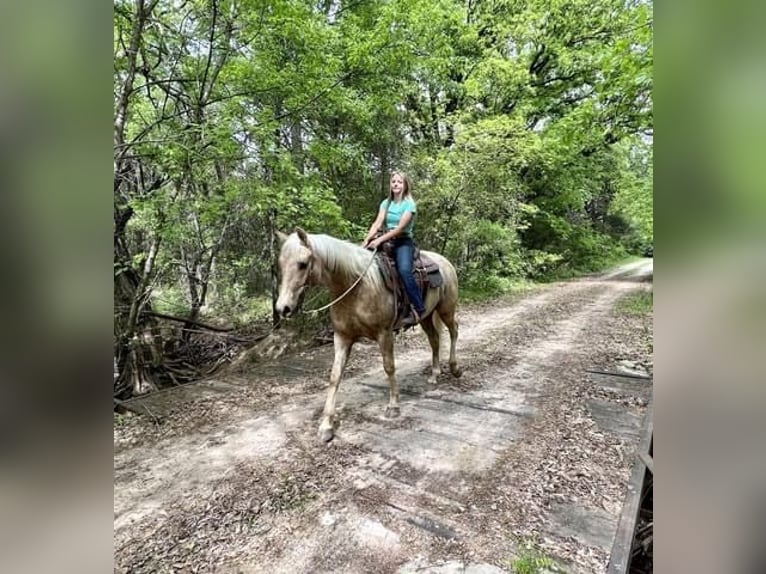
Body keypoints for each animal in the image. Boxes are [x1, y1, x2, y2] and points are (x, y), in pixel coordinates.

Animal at [276, 230, 462, 446]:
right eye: (281, 264)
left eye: (302, 264)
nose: (283, 308)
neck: (356, 288)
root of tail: (444, 261)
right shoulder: (342, 337)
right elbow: (334, 377)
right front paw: (326, 426)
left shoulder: (384, 333)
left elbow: (389, 367)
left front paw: (393, 406)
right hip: (426, 316)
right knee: (434, 339)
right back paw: (434, 374)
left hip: (446, 309)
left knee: (454, 331)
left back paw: (455, 368)